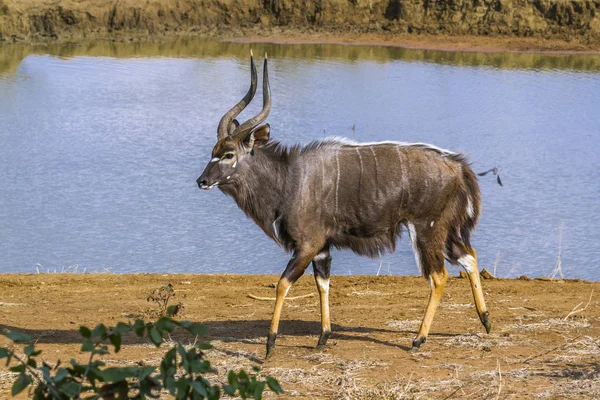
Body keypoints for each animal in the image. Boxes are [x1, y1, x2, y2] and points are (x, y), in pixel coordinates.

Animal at [199, 52, 490, 356]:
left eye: (228, 154)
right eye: (213, 152)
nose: (201, 181)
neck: (289, 178)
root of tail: (459, 167)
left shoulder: (308, 245)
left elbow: (282, 284)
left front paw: (270, 344)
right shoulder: (322, 249)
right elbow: (322, 284)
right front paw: (322, 337)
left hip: (426, 230)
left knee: (440, 275)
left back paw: (418, 339)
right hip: (445, 231)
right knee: (468, 256)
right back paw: (485, 320)